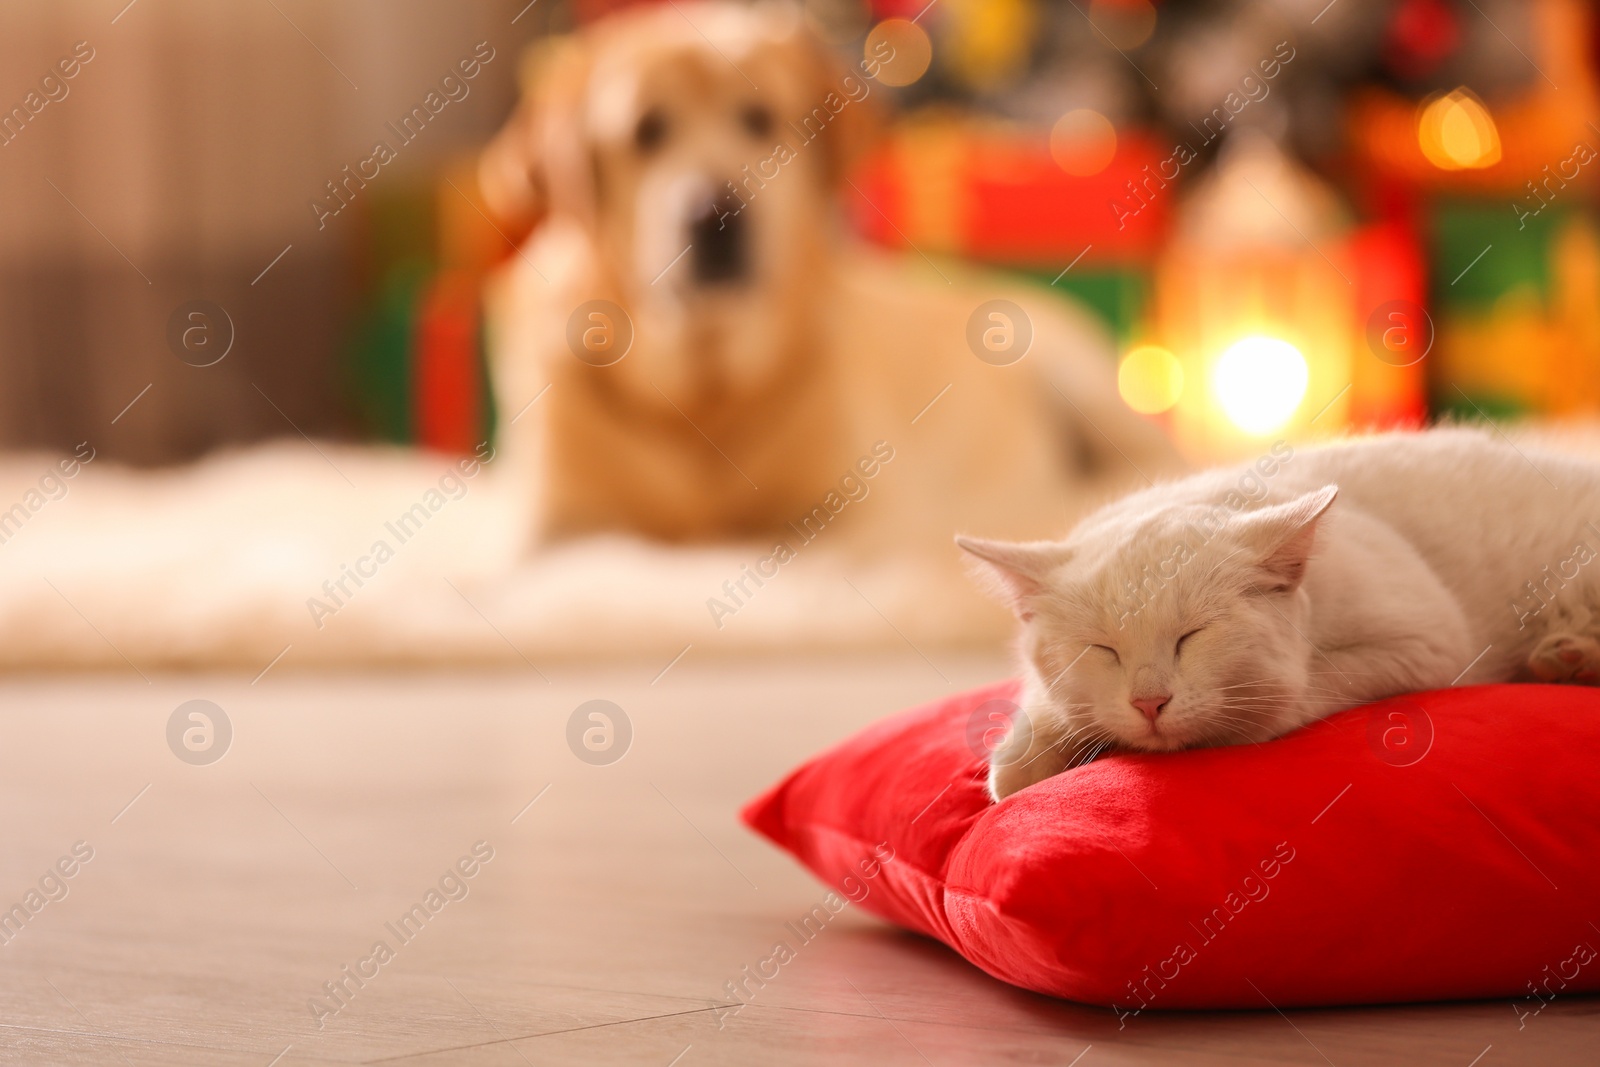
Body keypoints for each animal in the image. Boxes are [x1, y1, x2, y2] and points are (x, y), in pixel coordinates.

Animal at [473, 2, 1177, 550]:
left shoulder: (863, 517)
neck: (705, 396)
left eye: (760, 119)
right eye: (647, 131)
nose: (715, 214)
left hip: (1083, 381)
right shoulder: (556, 532)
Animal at [960, 425, 1600, 799]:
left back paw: (1569, 657)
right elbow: (1035, 724)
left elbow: (1303, 691)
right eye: (1103, 649)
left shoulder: (1429, 641)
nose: (1149, 702)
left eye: (1193, 636)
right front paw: (1025, 759)